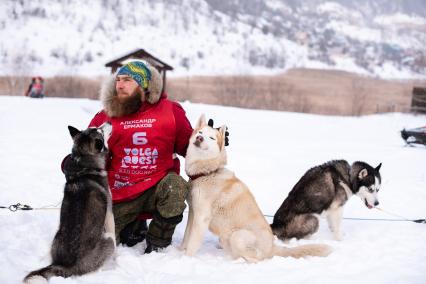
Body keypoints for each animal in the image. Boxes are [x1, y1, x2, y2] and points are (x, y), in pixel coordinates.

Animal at [24, 123, 115, 282]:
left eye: (97, 127)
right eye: (100, 131)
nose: (109, 122)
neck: (84, 165)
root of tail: (64, 264)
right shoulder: (109, 215)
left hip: (56, 236)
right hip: (108, 240)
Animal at [178, 115, 332, 262]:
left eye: (211, 138)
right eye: (200, 132)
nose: (199, 138)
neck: (208, 172)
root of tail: (272, 247)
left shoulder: (201, 218)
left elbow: (192, 244)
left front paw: (186, 259)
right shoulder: (193, 212)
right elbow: (186, 237)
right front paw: (179, 252)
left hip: (237, 236)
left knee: (255, 260)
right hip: (225, 238)